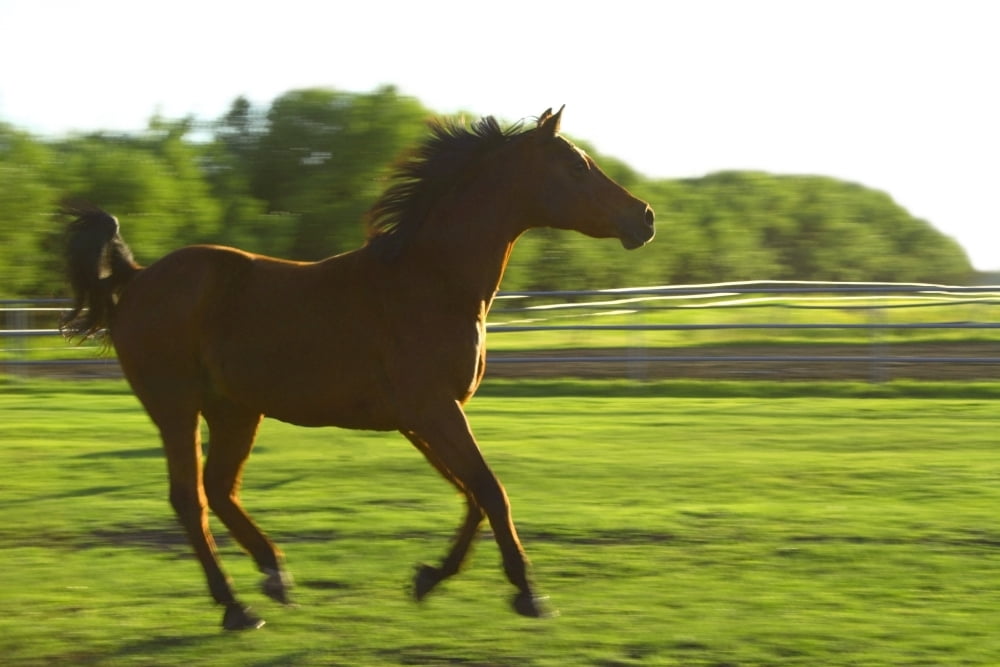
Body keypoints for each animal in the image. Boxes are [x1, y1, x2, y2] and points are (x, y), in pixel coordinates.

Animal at [61, 107, 655, 630]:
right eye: (575, 165)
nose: (644, 217)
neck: (433, 282)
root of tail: (138, 278)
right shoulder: (435, 411)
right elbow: (489, 490)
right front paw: (529, 593)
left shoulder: (423, 418)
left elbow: (471, 494)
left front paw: (428, 578)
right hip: (176, 407)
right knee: (191, 498)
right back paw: (236, 608)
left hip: (235, 411)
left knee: (221, 488)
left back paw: (275, 576)